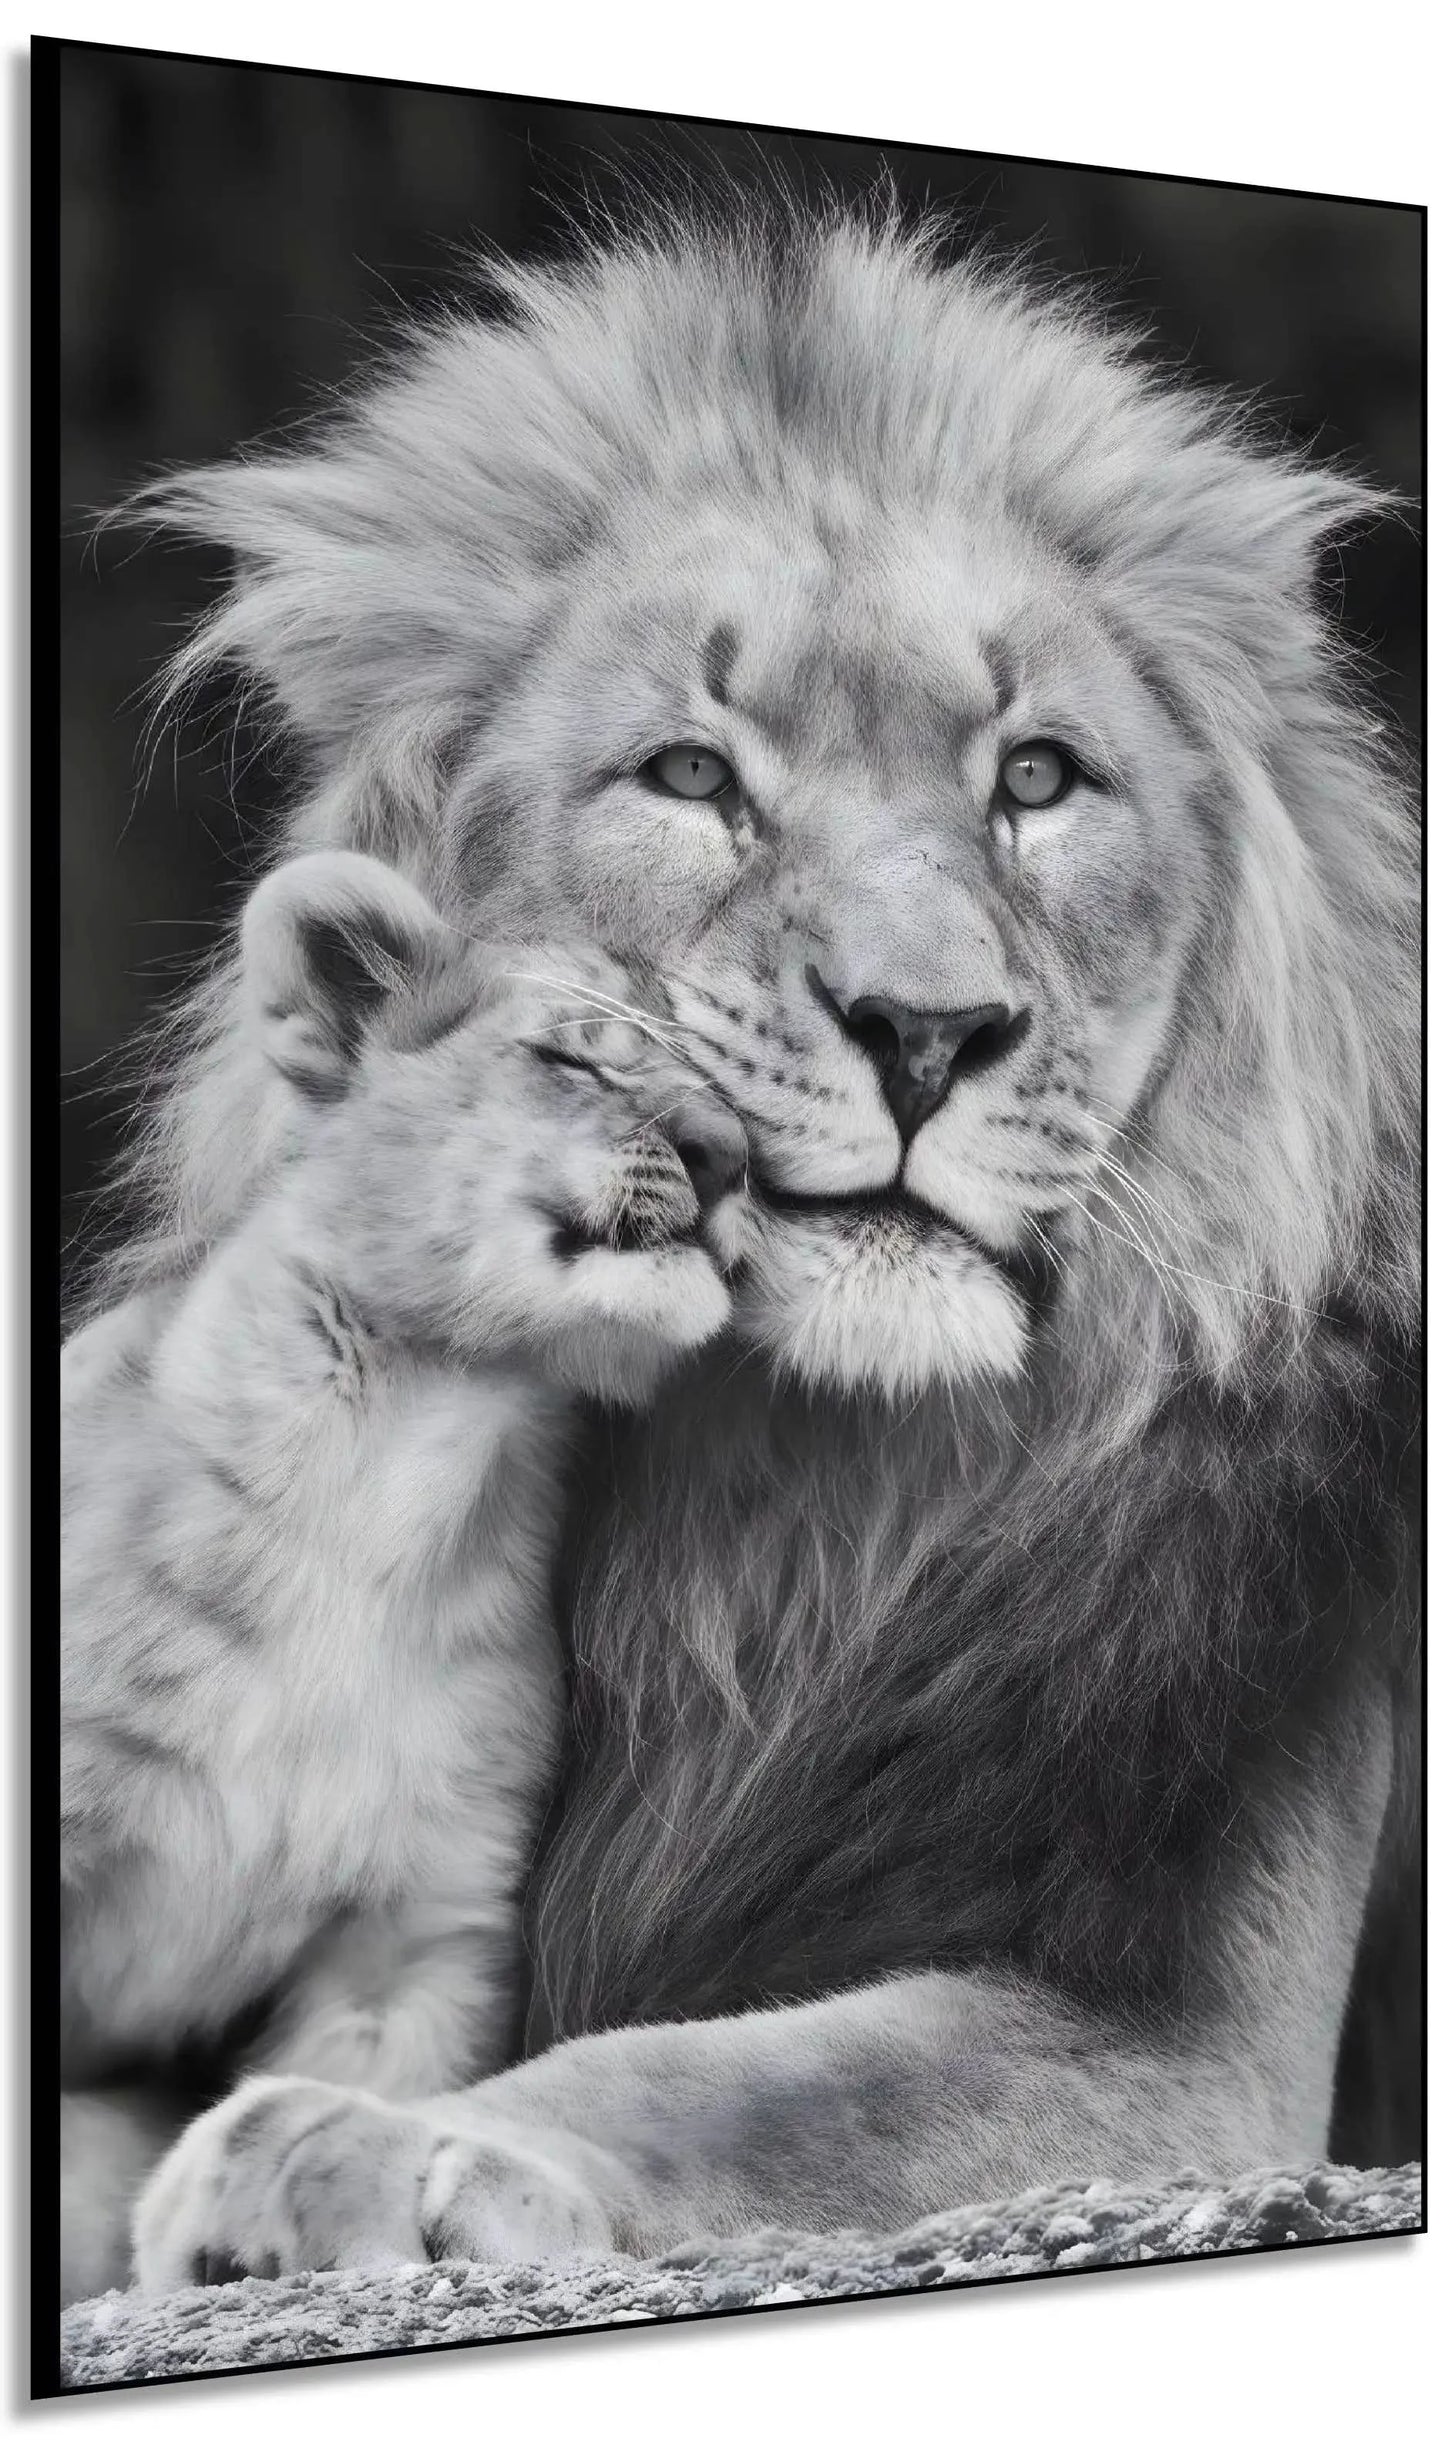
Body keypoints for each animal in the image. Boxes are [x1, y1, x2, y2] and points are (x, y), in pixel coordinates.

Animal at [65, 196, 1418, 2303]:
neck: (784, 1513)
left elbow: (741, 2076)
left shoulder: (1201, 2044)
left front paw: (369, 2143)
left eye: (1038, 777)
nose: (929, 1031)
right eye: (692, 777)